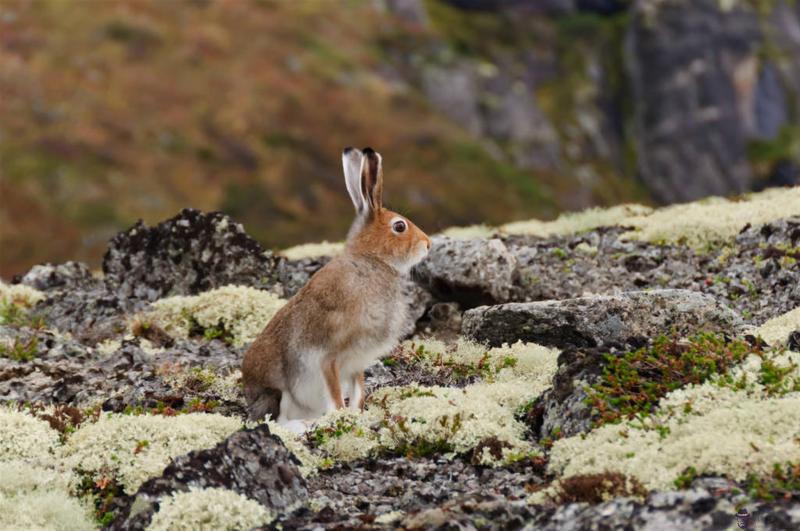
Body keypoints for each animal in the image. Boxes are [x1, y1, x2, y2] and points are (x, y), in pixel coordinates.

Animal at [242, 148, 432, 430]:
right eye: (399, 226)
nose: (428, 244)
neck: (372, 261)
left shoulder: (356, 363)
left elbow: (359, 391)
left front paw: (357, 415)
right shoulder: (328, 356)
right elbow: (334, 393)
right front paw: (340, 418)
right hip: (282, 388)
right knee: (280, 419)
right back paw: (305, 425)